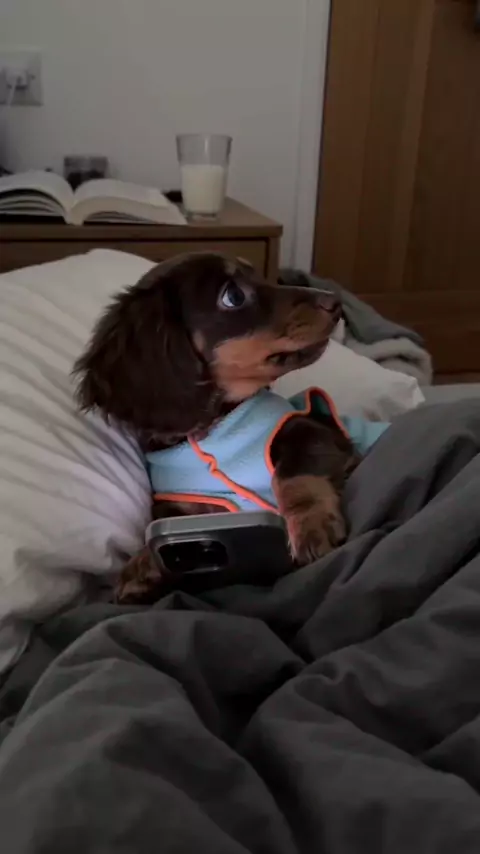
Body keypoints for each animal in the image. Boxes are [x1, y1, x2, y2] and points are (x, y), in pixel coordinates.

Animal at [73, 253, 360, 604]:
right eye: (233, 295)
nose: (335, 303)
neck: (213, 430)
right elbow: (169, 523)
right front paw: (142, 565)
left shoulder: (314, 429)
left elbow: (293, 473)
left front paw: (311, 523)